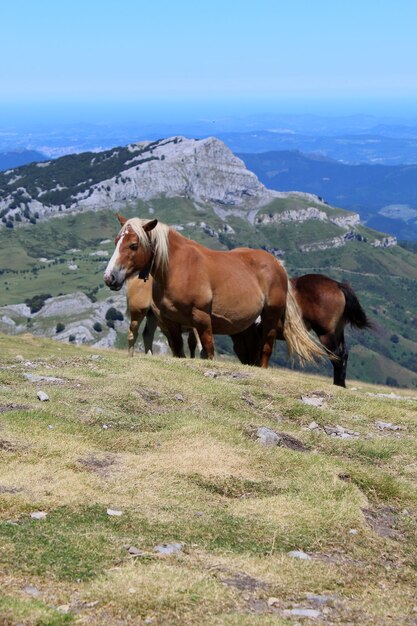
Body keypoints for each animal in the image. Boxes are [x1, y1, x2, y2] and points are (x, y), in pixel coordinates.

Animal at [102, 214, 324, 366]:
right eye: (116, 241)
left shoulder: (202, 319)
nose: (109, 277)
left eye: (133, 245)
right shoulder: (171, 323)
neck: (178, 268)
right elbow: (179, 351)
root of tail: (277, 264)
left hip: (270, 317)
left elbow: (207, 351)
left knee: (265, 349)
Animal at [231, 272, 370, 386]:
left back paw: (338, 384)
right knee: (344, 354)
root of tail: (337, 285)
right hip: (338, 331)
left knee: (336, 355)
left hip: (325, 333)